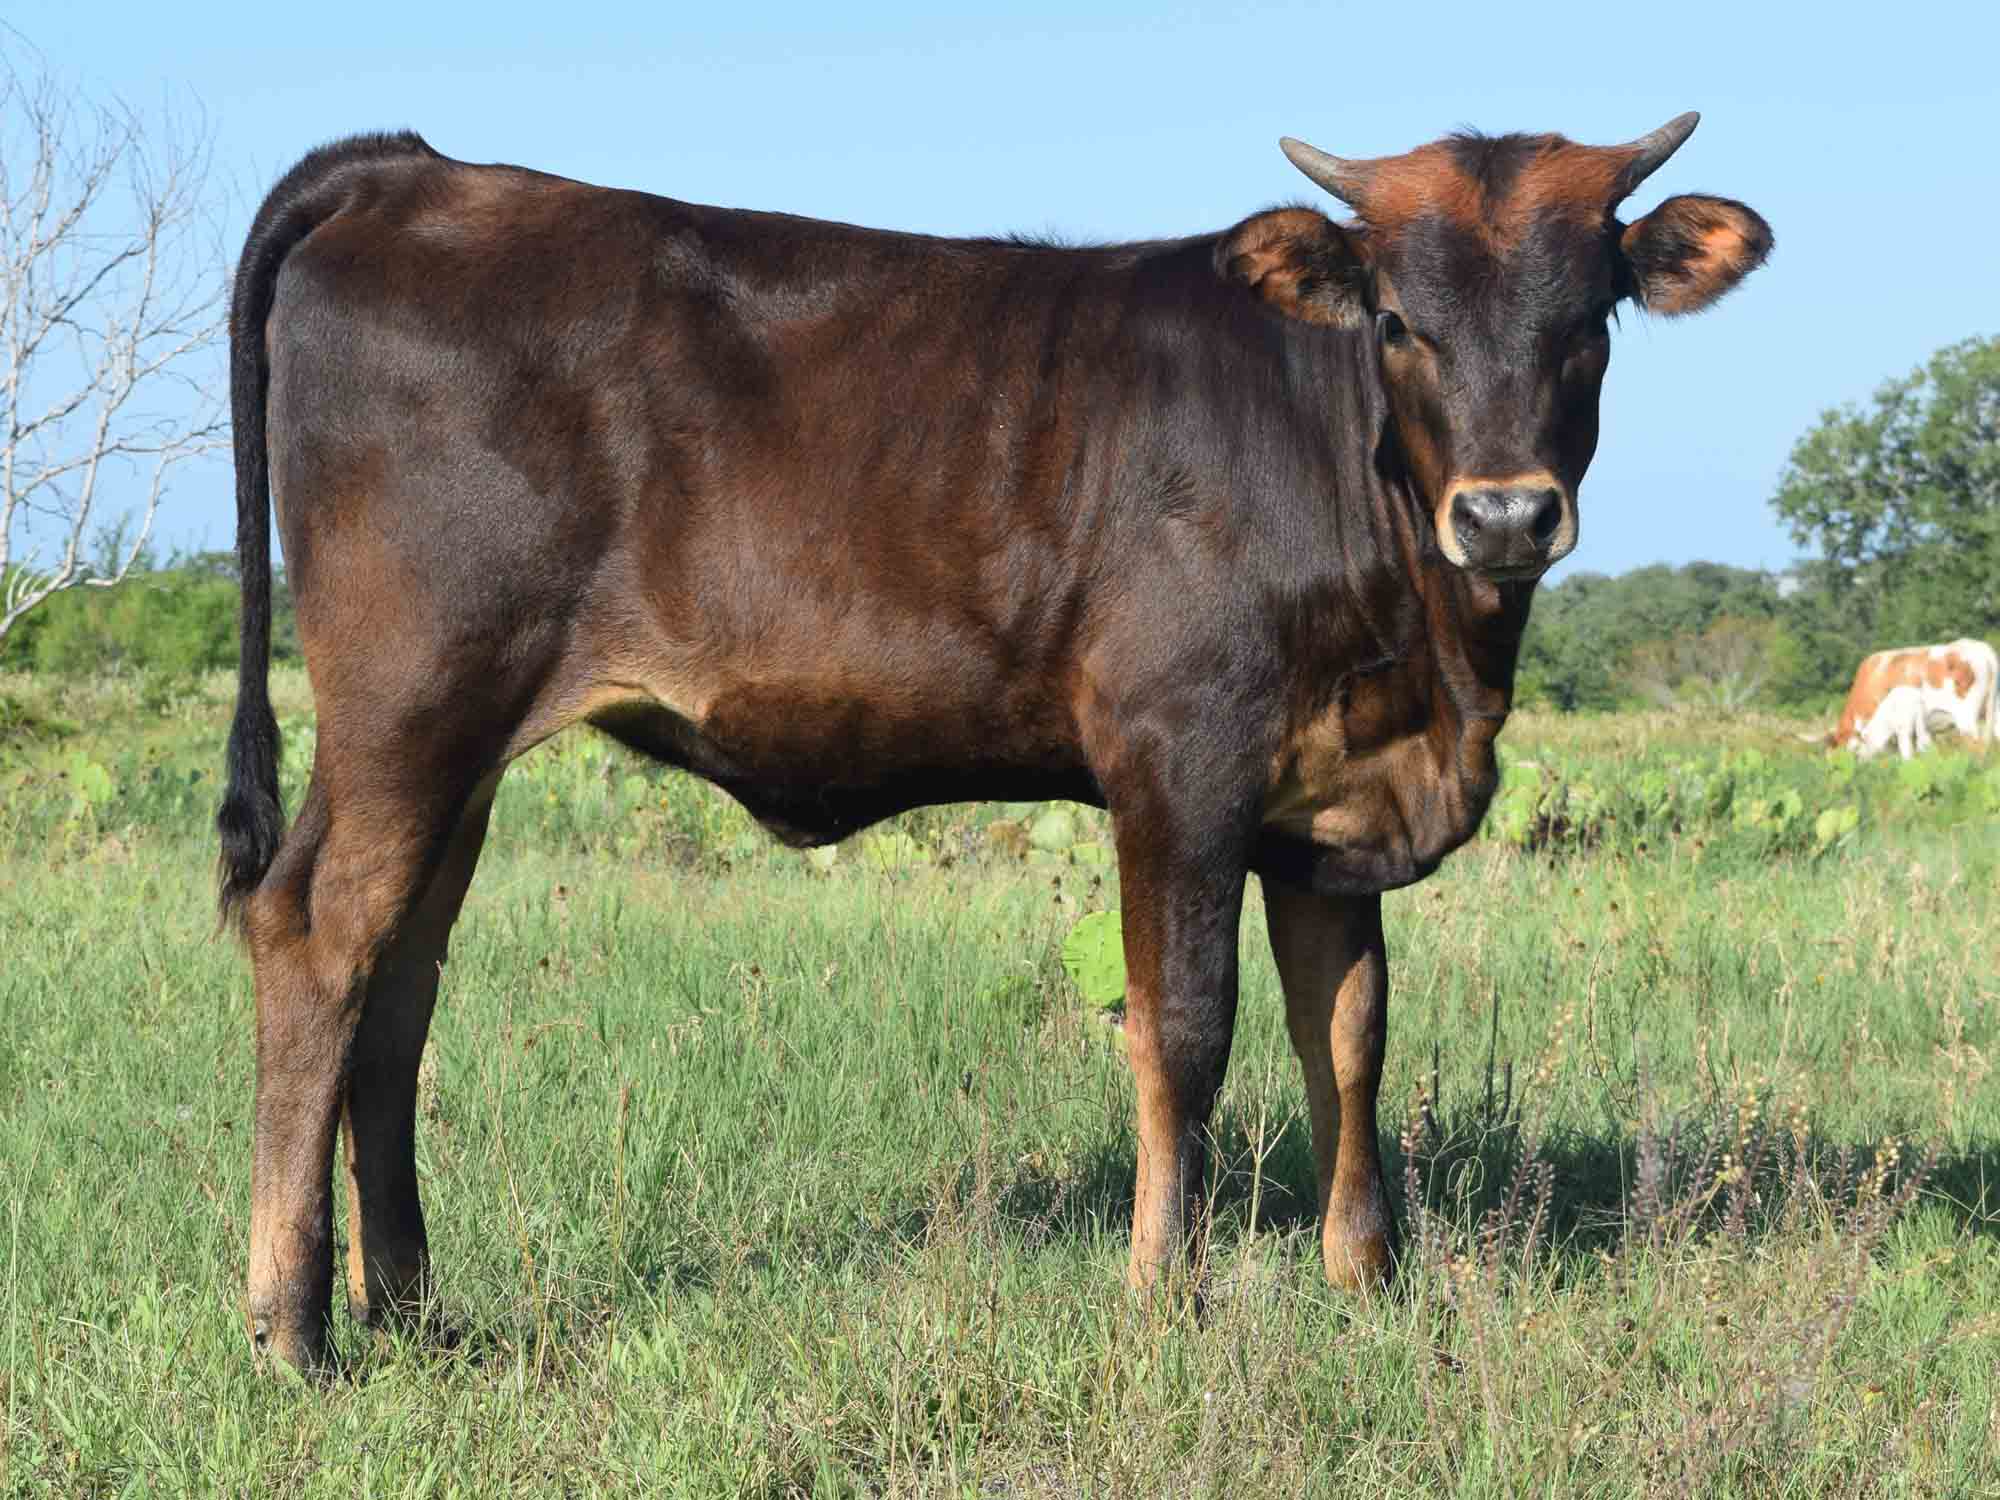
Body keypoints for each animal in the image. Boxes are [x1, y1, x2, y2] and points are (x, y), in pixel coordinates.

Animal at [216, 114, 1770, 1371]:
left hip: (458, 750)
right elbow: (1183, 1031)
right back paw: (295, 1329)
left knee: (399, 986)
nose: (1505, 514)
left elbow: (1349, 1036)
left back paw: (413, 1311)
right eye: (1396, 319)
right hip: (415, 698)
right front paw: (1164, 1295)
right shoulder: (1179, 765)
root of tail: (416, 170)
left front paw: (1367, 1282)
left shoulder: (1329, 814)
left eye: (1593, 313)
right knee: (317, 933)